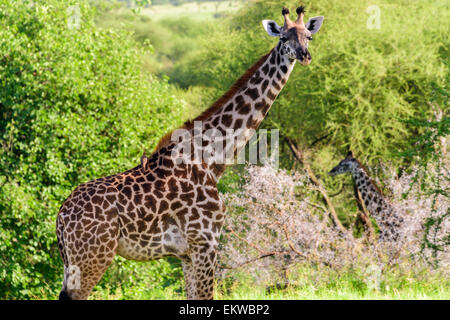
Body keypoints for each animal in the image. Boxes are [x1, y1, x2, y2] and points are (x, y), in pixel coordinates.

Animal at [56, 5, 324, 300]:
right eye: (283, 38)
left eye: (308, 36)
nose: (304, 56)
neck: (213, 158)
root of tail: (61, 217)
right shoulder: (206, 242)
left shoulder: (186, 254)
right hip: (94, 256)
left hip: (72, 261)